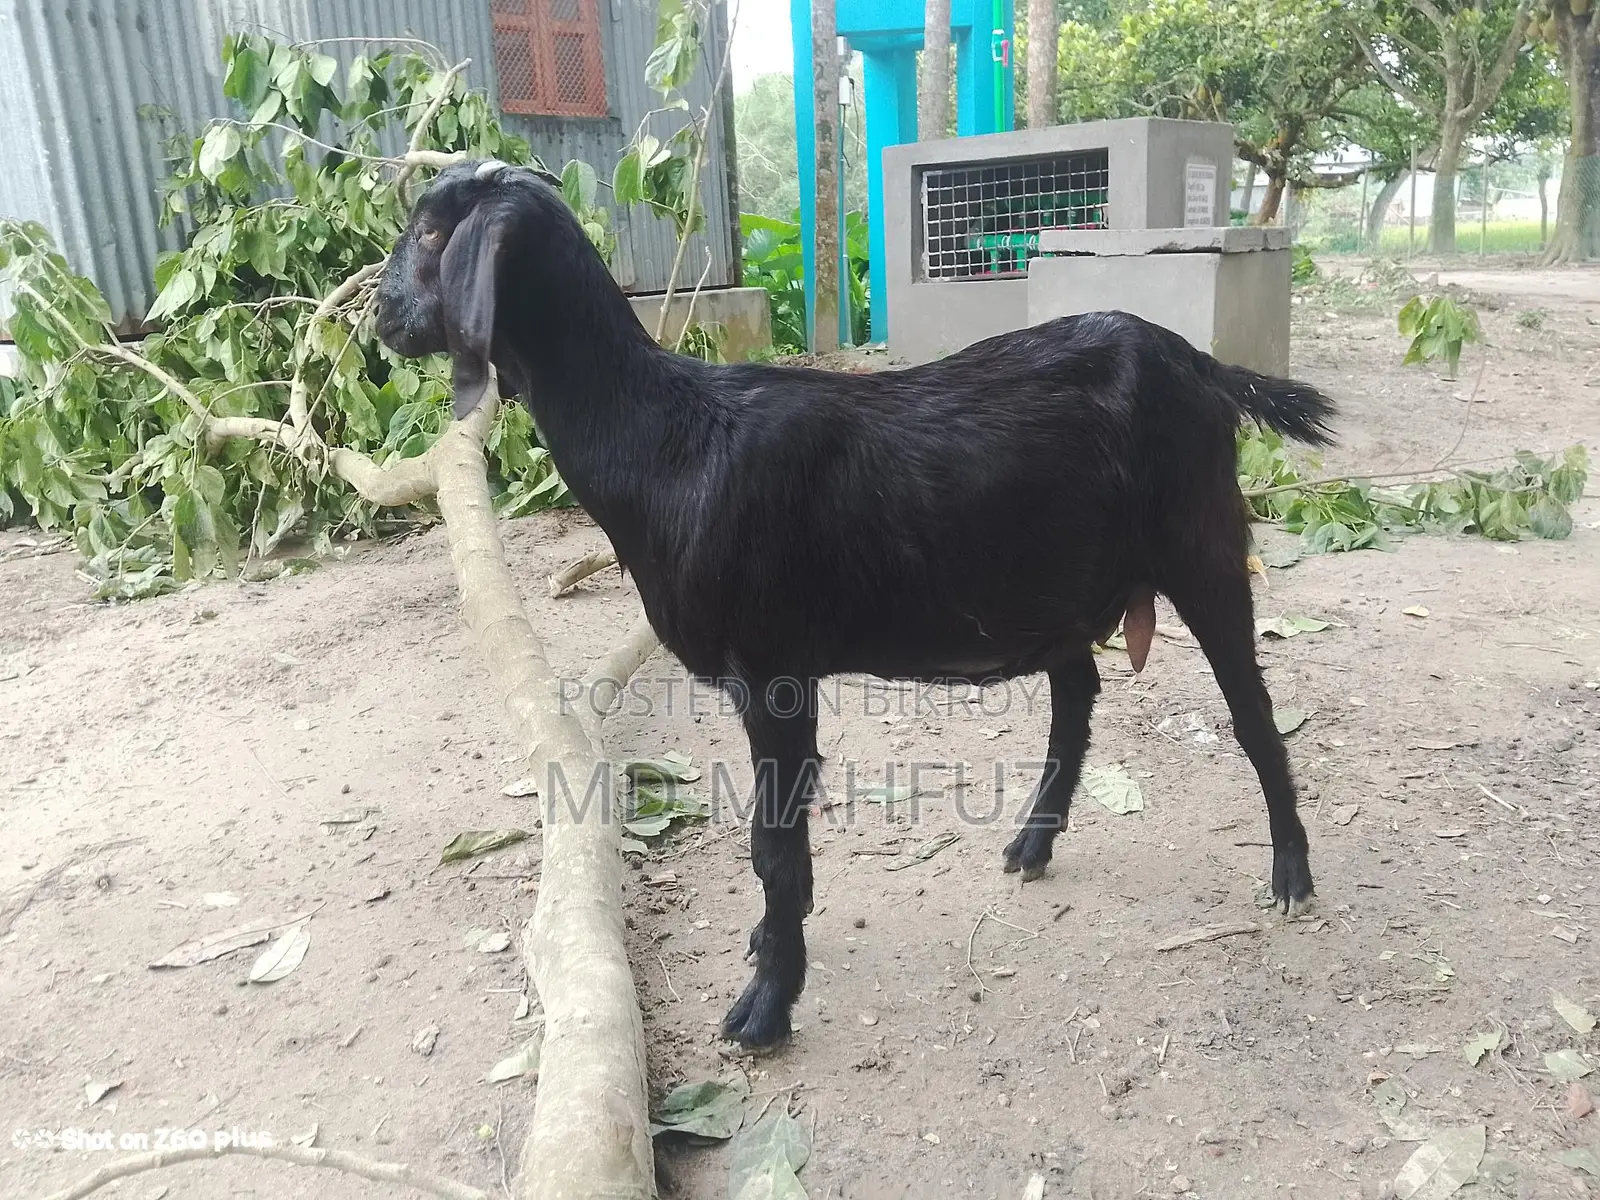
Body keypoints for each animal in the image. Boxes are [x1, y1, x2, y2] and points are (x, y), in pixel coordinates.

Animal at [376, 161, 1336, 1049]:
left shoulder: (772, 674)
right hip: (1054, 586)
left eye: (430, 233)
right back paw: (1032, 844)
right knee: (1076, 698)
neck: (666, 443)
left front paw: (766, 1005)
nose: (379, 317)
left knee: (1251, 711)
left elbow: (775, 849)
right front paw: (768, 956)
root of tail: (1201, 365)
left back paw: (1291, 873)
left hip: (1203, 546)